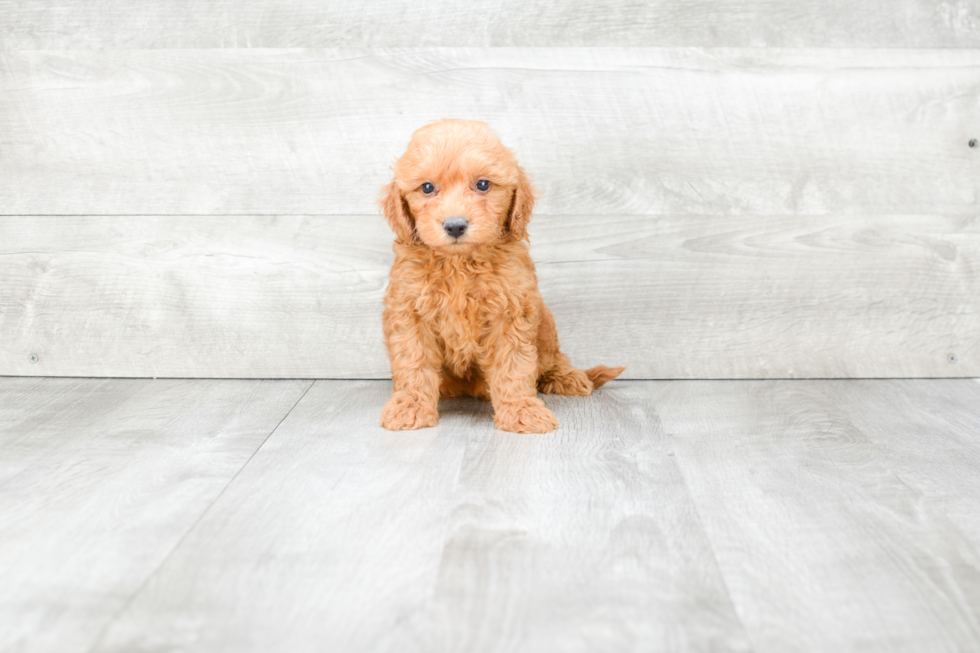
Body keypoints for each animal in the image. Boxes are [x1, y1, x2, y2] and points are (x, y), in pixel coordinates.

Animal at [378, 120, 624, 432]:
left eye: (483, 184)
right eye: (427, 188)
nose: (455, 225)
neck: (461, 263)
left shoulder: (511, 310)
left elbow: (514, 365)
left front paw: (521, 410)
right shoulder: (409, 311)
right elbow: (413, 361)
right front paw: (410, 407)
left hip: (545, 321)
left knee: (551, 358)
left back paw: (566, 376)